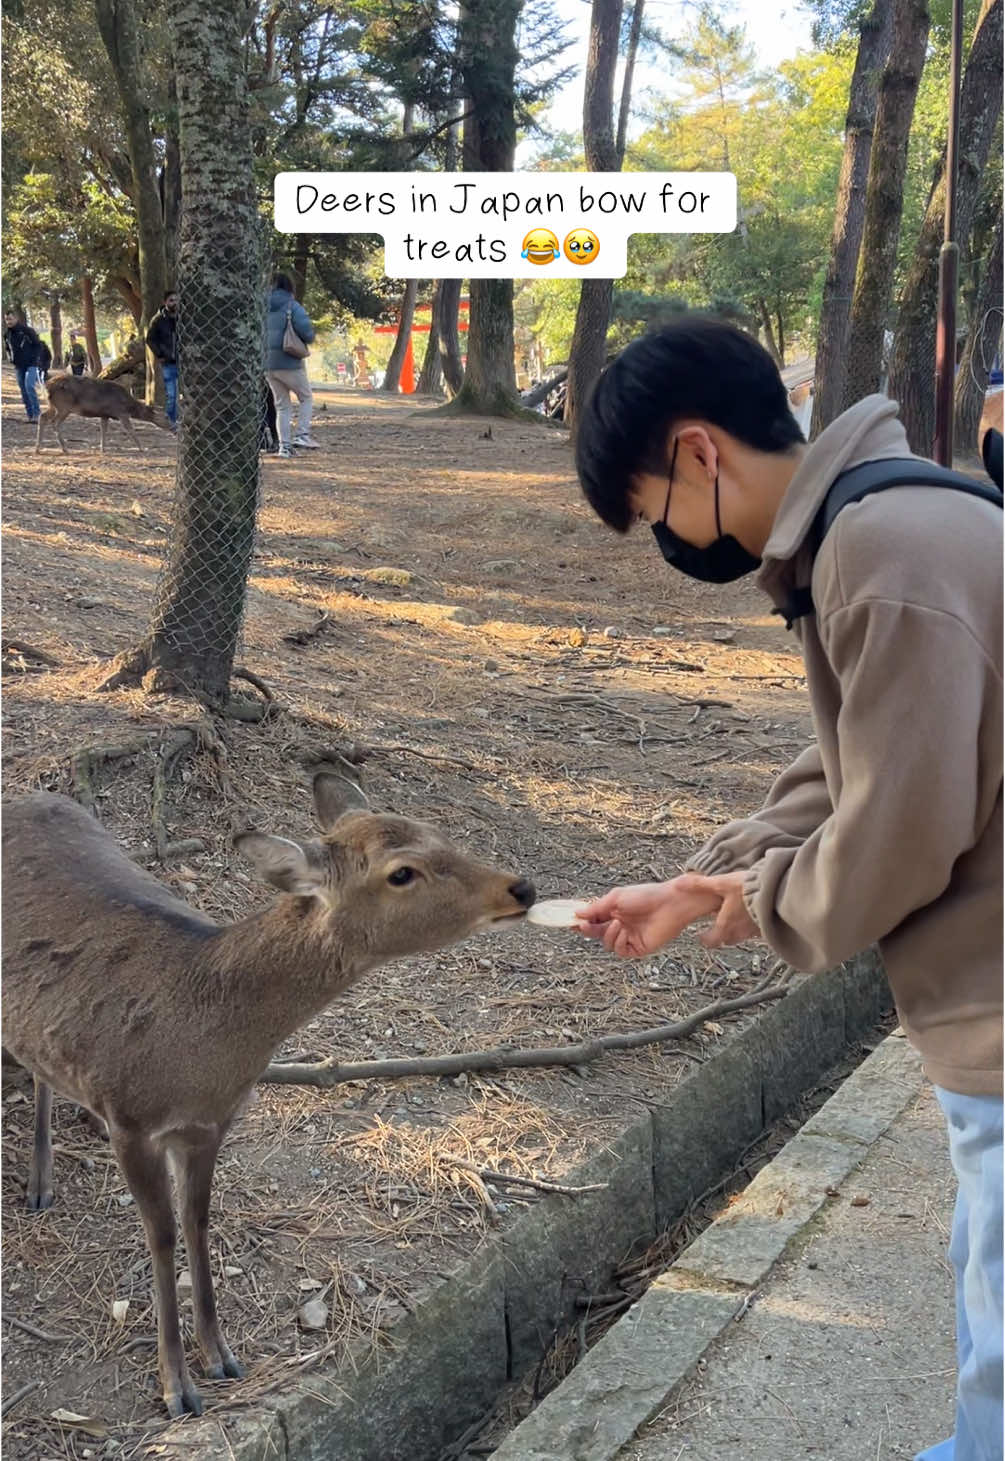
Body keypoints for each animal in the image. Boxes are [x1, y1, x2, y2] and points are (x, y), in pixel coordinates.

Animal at [1, 771, 534, 1420]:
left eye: (439, 832)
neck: (202, 1050)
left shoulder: (211, 1124)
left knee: (41, 1061)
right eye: (401, 872)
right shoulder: (131, 1118)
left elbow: (199, 1221)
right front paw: (177, 1388)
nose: (522, 887)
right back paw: (38, 1184)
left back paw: (44, 1177)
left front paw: (221, 1356)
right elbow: (162, 1235)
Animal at [35, 371, 172, 449]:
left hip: (53, 405)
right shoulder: (121, 413)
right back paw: (64, 448)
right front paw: (142, 447)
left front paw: (102, 448)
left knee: (42, 416)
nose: (173, 428)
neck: (129, 406)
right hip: (64, 406)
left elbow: (103, 430)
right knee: (54, 422)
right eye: (166, 416)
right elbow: (130, 430)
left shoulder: (105, 414)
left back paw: (38, 448)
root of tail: (46, 386)